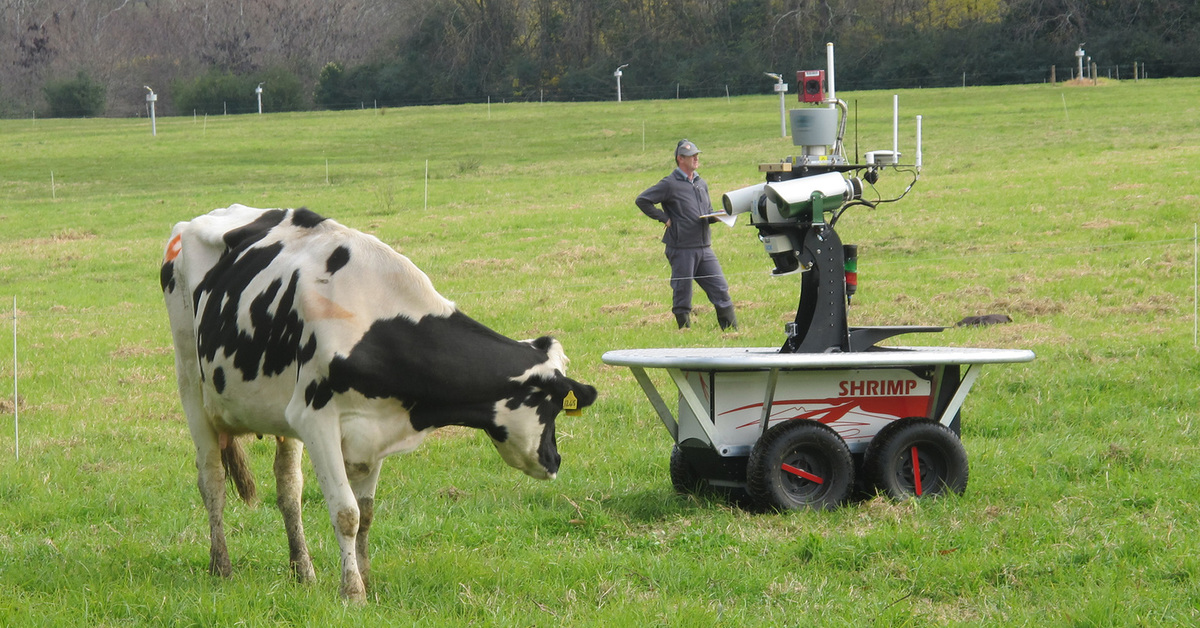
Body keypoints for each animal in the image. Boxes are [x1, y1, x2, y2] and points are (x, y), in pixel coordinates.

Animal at [164, 205, 595, 600]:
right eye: (555, 406)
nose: (555, 460)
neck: (372, 316)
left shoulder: (376, 429)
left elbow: (366, 513)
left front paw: (367, 581)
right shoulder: (315, 420)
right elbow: (346, 513)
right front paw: (353, 593)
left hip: (277, 415)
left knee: (288, 489)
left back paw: (303, 571)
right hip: (191, 385)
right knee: (212, 480)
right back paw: (221, 567)